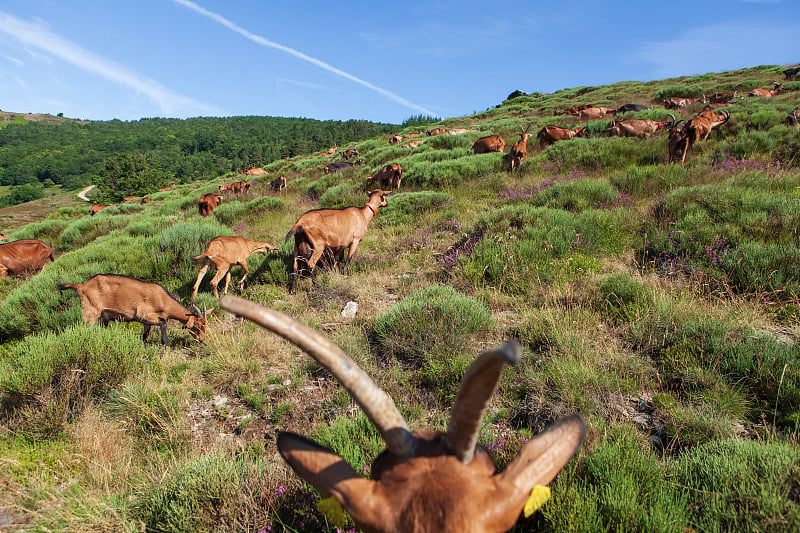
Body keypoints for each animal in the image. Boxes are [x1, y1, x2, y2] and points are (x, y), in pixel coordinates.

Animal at [58, 274, 211, 344]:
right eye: (197, 326)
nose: (202, 340)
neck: (162, 298)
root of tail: (81, 286)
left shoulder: (146, 322)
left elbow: (145, 335)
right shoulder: (144, 313)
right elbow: (163, 324)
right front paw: (166, 345)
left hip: (102, 318)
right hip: (91, 313)